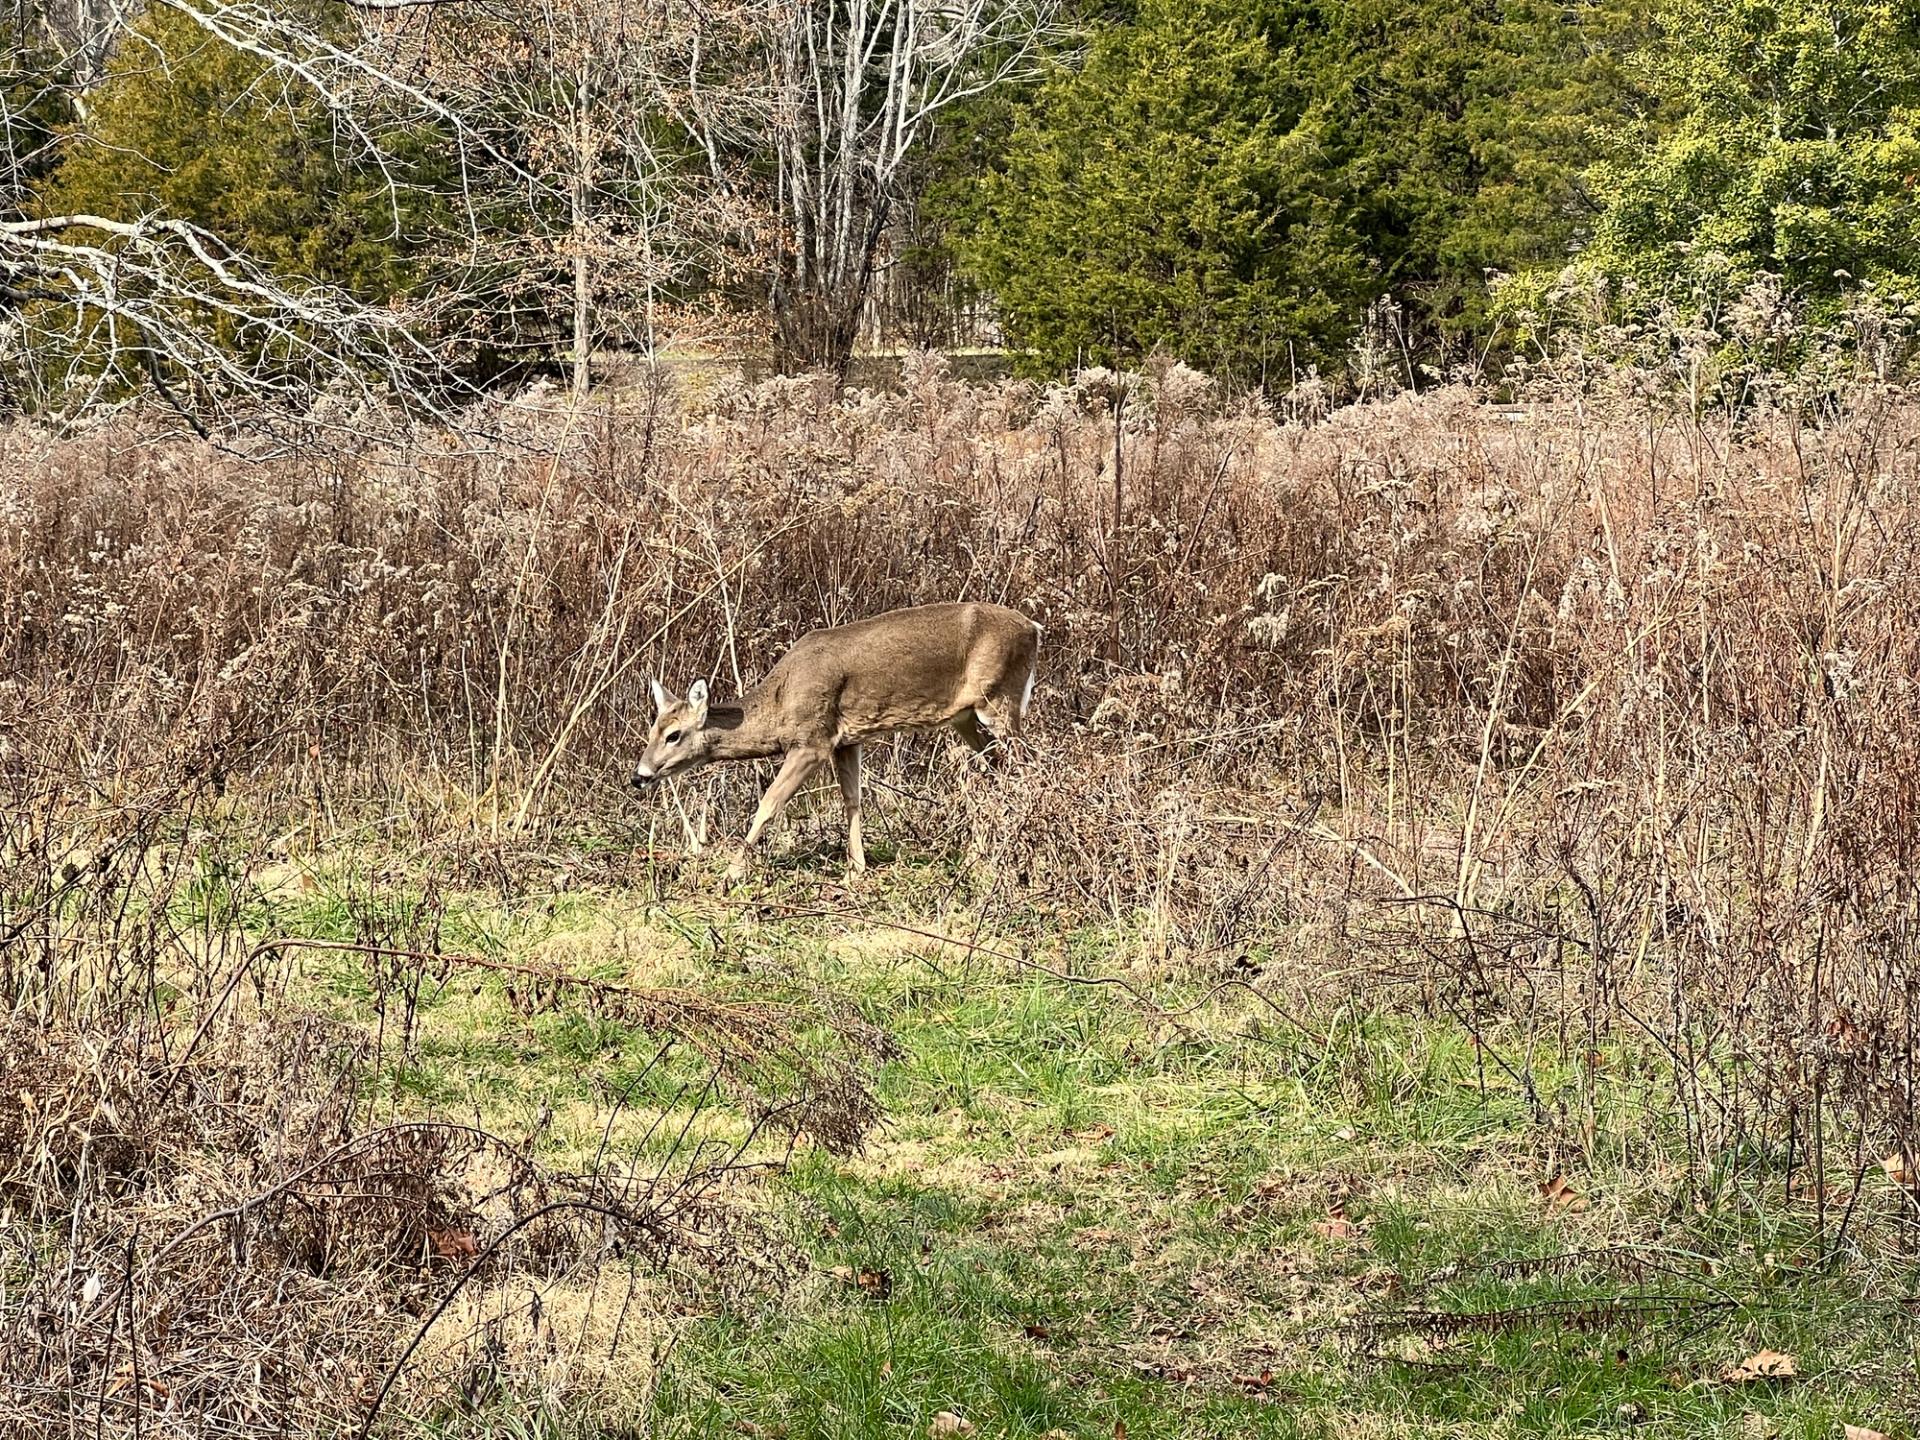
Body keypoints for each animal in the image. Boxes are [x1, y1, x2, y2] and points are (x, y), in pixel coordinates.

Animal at [631, 601, 1040, 883]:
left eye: (674, 734)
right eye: (651, 730)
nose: (639, 775)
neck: (780, 702)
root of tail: (1034, 628)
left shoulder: (812, 740)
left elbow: (769, 802)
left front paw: (731, 874)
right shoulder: (845, 740)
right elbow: (852, 799)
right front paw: (856, 868)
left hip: (1000, 699)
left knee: (1028, 767)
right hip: (967, 717)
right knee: (997, 771)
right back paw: (978, 857)